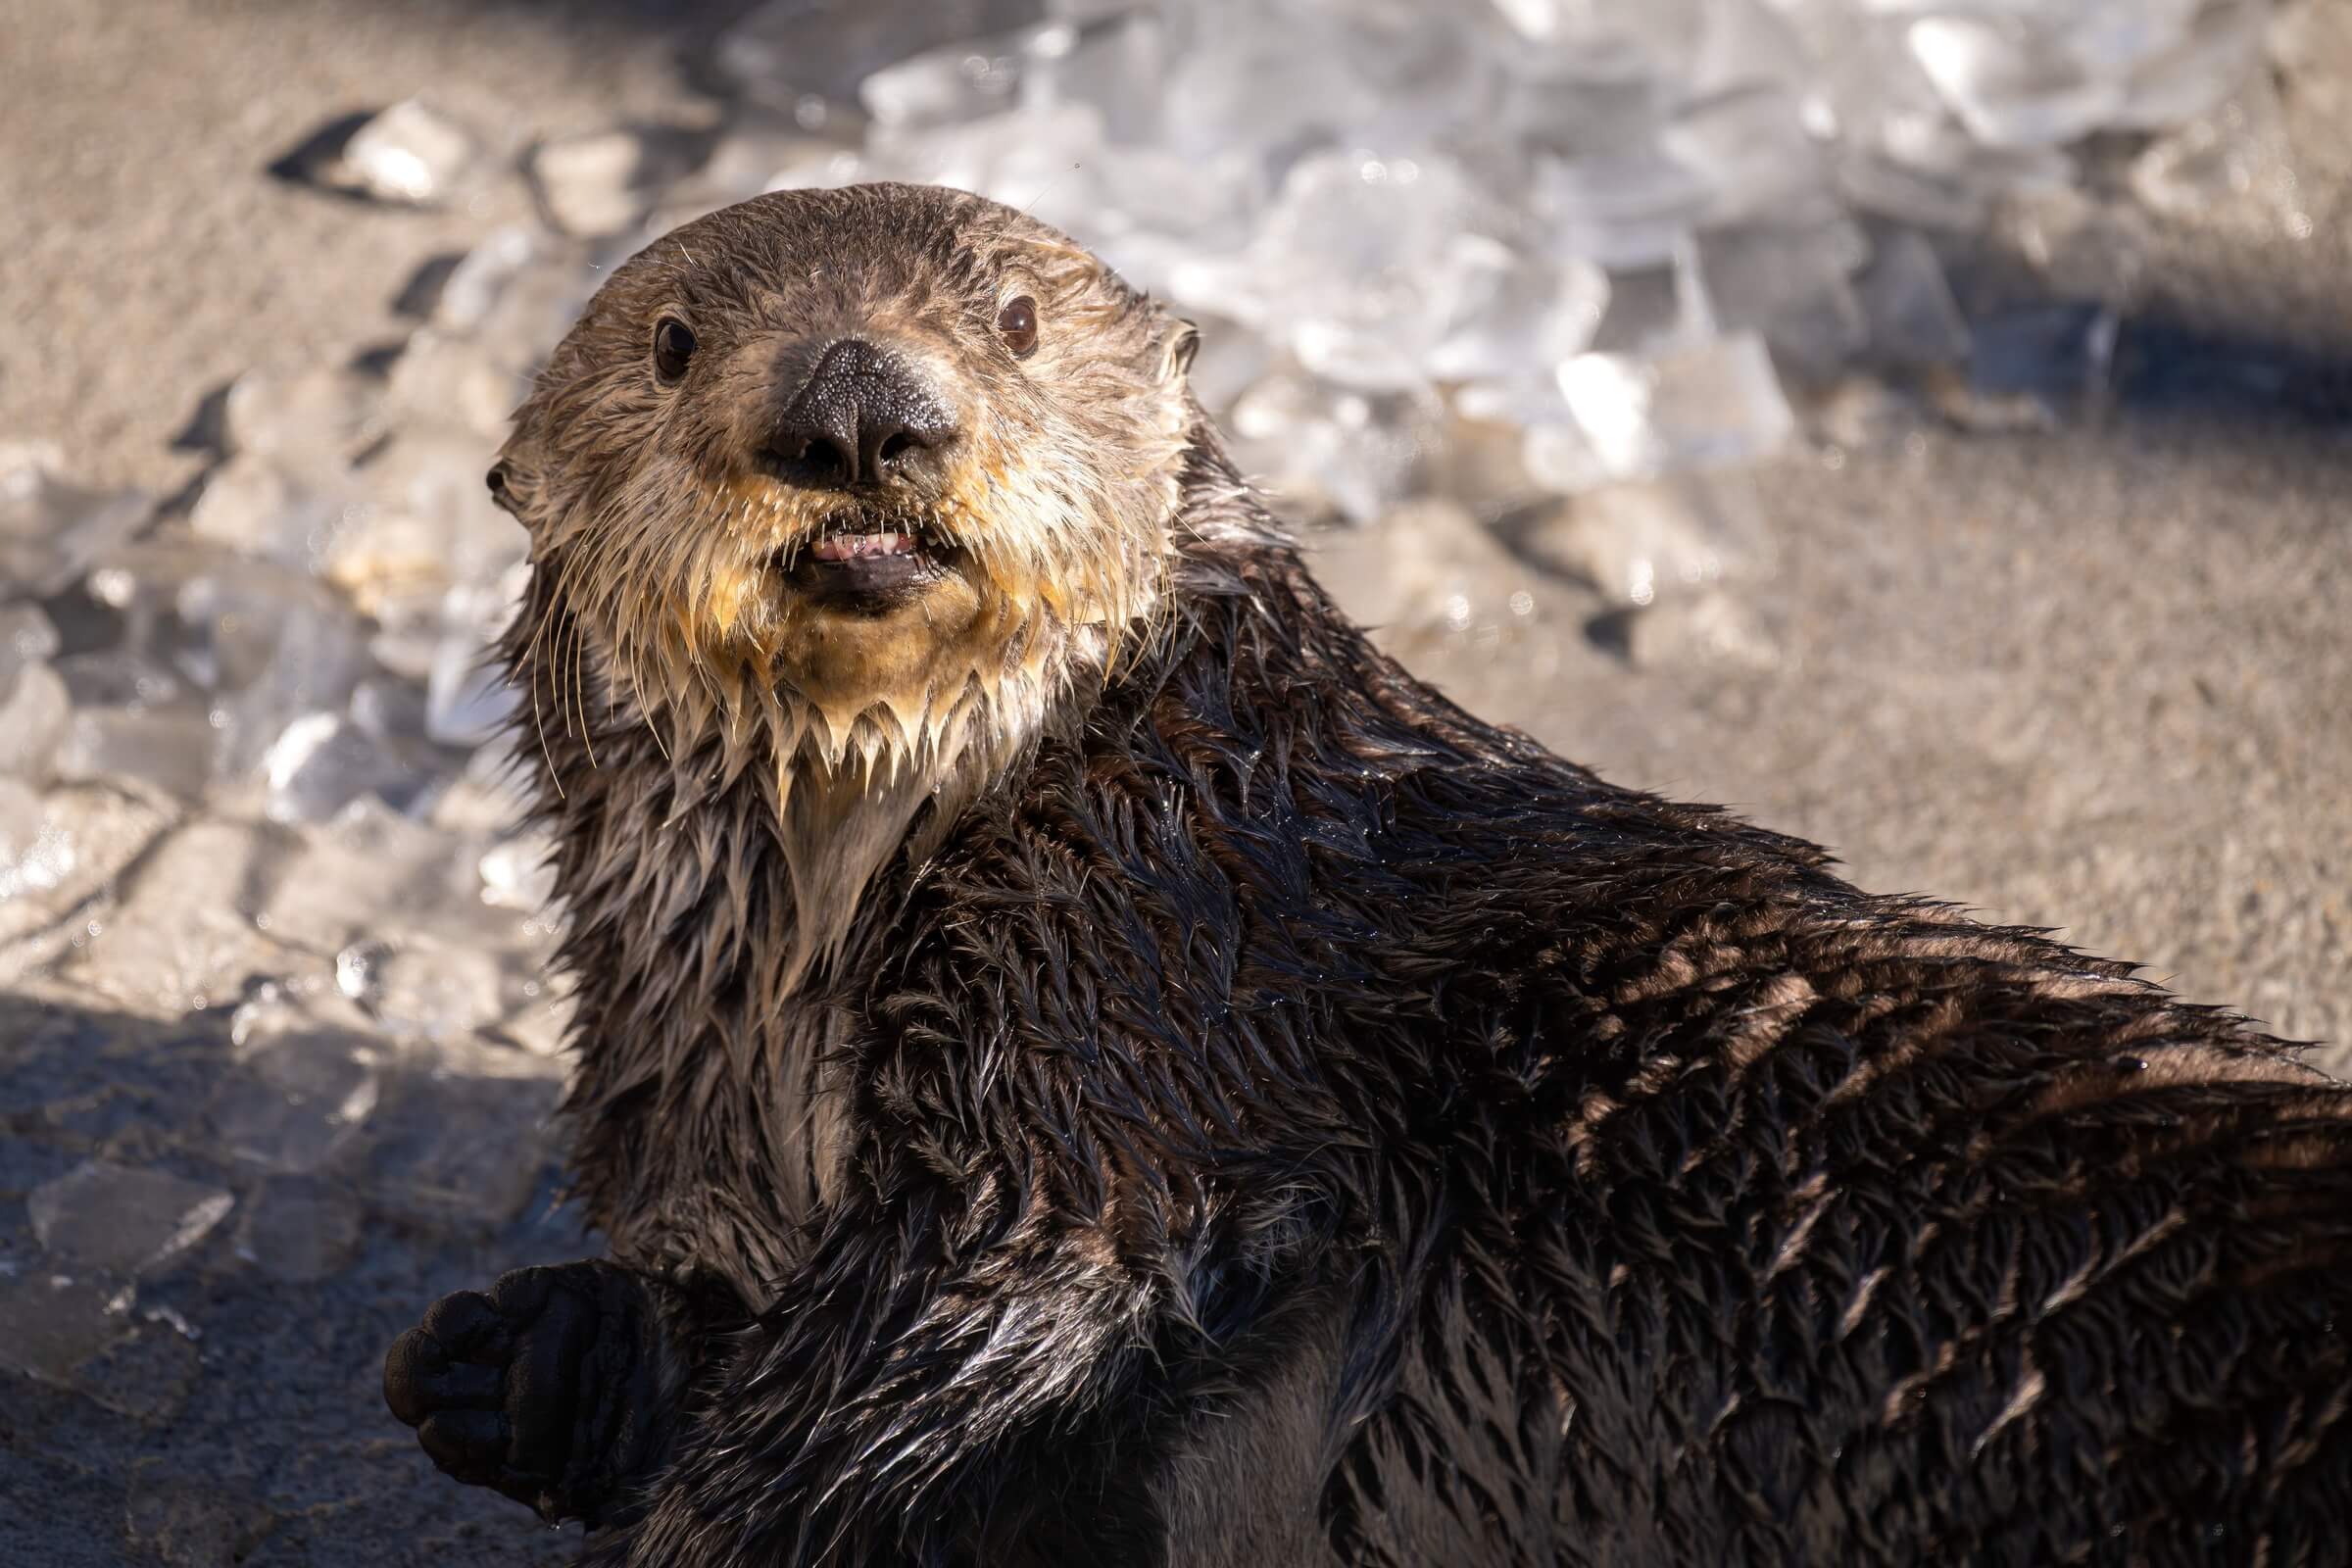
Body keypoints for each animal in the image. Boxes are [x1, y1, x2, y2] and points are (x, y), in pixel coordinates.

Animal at [383, 184, 2352, 1566]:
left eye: (1011, 322)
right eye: (673, 342)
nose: (861, 409)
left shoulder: (1128, 1004)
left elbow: (959, 1327)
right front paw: (531, 1359)